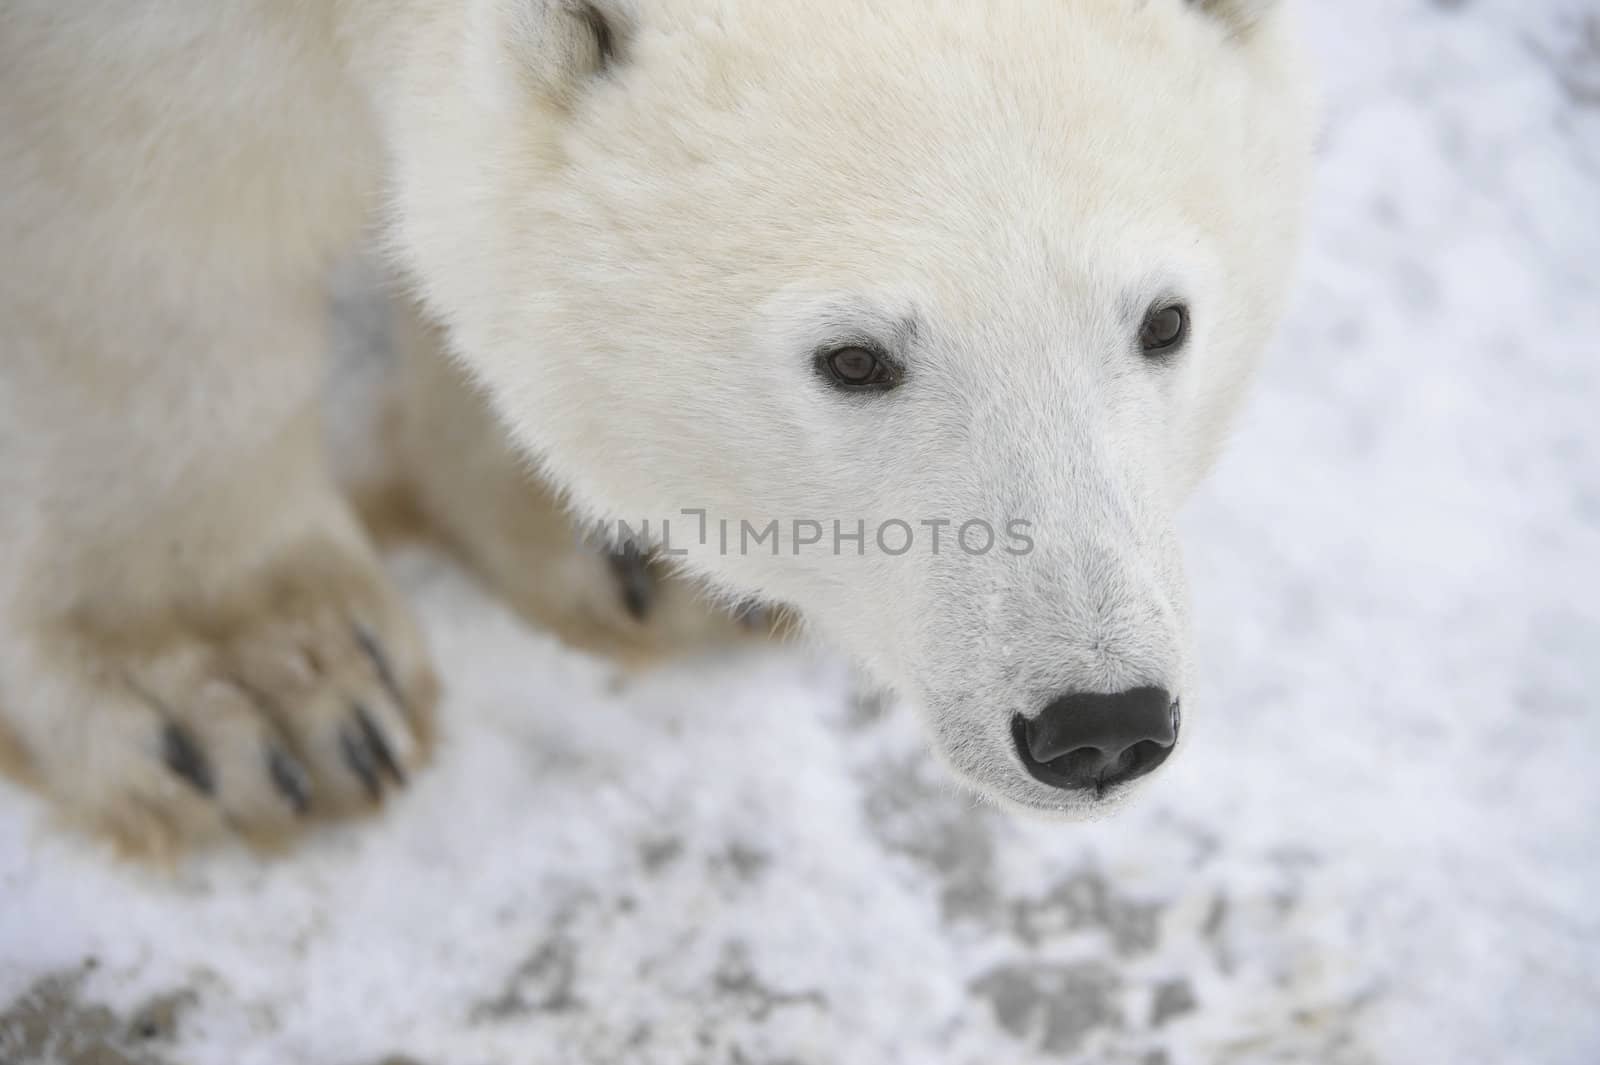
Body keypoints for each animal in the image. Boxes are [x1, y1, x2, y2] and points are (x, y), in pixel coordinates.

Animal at [0, 0, 1312, 857]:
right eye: (854, 358)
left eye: (1163, 321)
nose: (1100, 725)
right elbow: (144, 231)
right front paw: (255, 694)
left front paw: (620, 550)